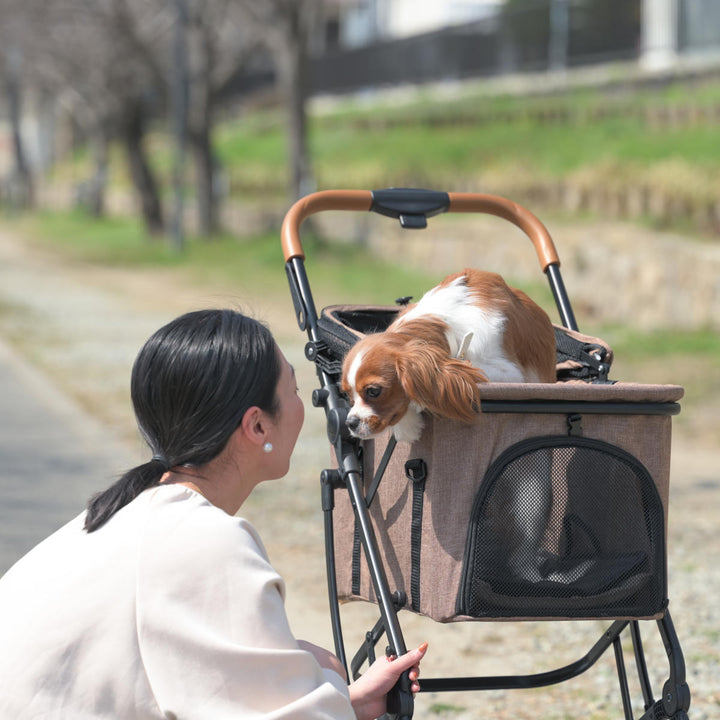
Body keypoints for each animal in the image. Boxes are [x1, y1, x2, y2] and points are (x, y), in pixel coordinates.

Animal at [340, 268, 556, 442]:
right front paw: (407, 426)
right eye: (347, 394)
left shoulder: (509, 373)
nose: (350, 422)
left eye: (373, 391)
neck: (448, 327)